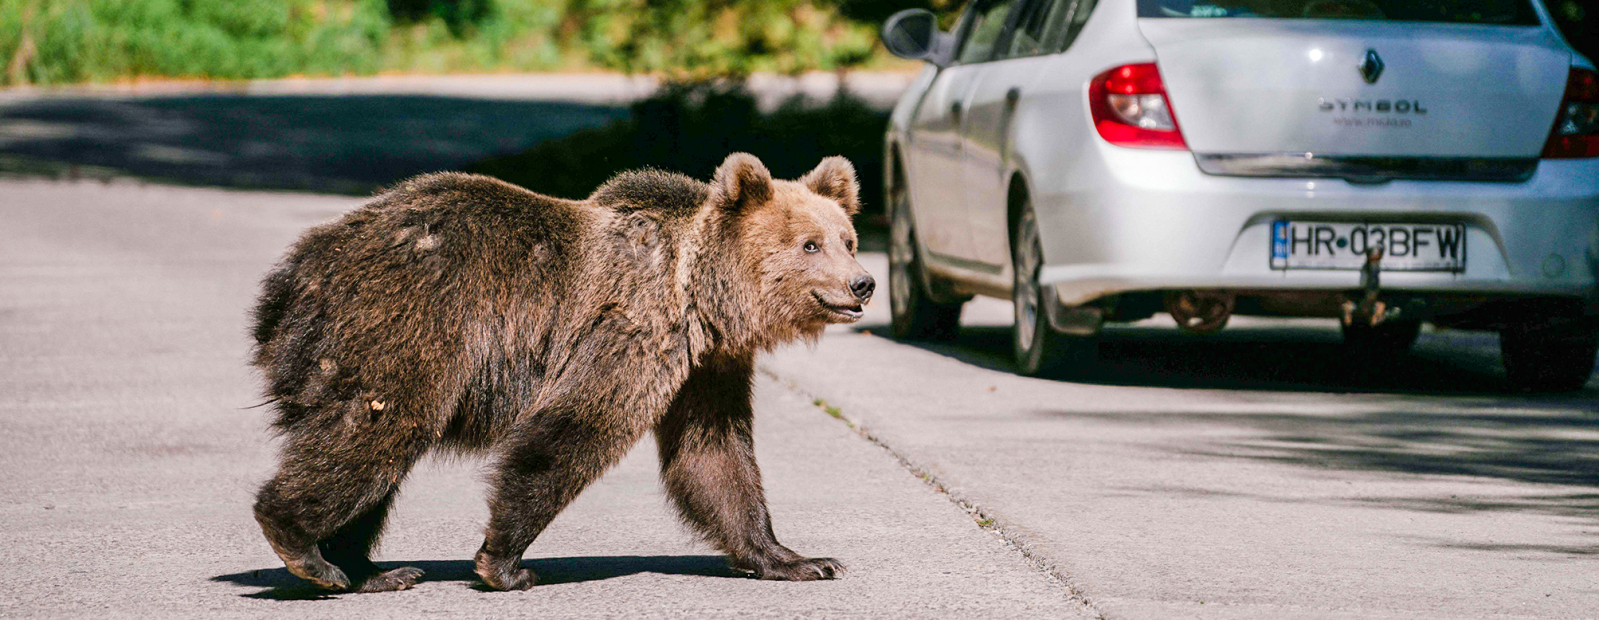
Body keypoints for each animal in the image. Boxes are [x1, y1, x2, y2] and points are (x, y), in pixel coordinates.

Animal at [249, 153, 876, 591]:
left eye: (847, 239)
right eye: (810, 245)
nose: (863, 283)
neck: (699, 298)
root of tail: (295, 273)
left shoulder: (704, 368)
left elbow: (714, 455)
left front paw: (799, 559)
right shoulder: (630, 328)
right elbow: (574, 429)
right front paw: (504, 564)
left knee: (376, 454)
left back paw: (369, 569)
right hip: (407, 323)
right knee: (374, 431)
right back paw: (303, 546)